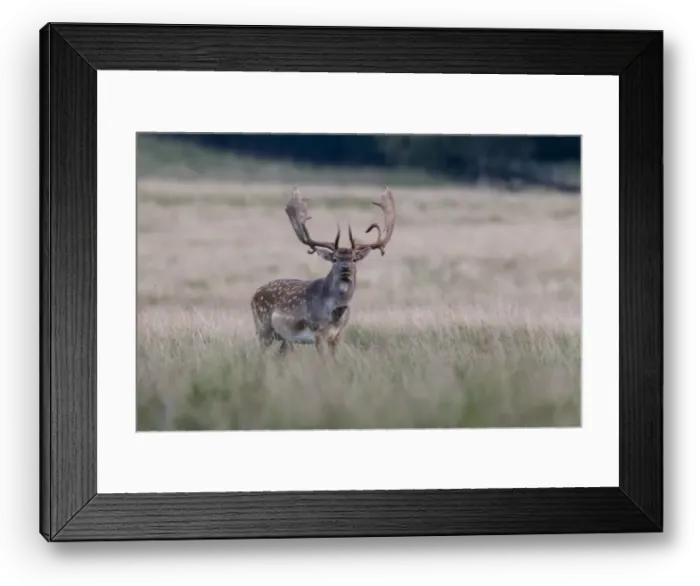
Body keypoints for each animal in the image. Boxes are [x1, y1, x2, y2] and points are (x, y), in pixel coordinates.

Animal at [250, 185, 396, 357]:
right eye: (334, 259)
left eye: (354, 259)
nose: (345, 267)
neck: (335, 315)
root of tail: (254, 295)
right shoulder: (318, 332)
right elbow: (324, 360)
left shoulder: (338, 335)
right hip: (263, 327)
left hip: (285, 338)